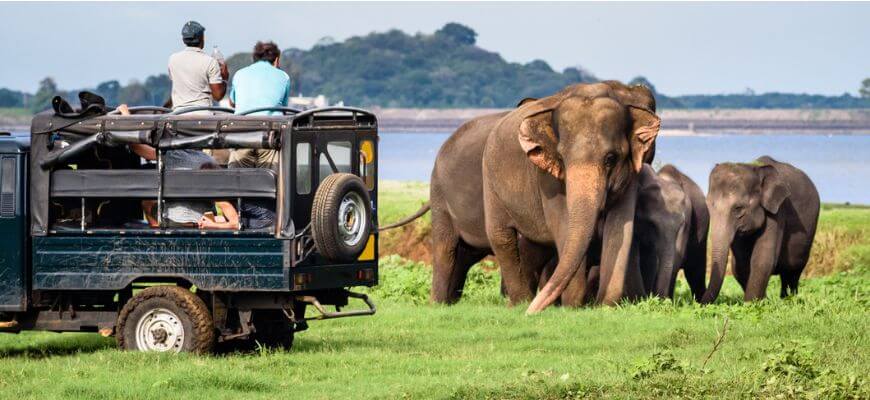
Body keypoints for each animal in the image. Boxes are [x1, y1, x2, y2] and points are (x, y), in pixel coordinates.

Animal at [704, 156, 820, 304]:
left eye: (738, 208)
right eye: (708, 206)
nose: (698, 302)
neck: (754, 168)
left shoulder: (777, 210)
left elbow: (762, 258)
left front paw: (752, 304)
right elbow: (740, 265)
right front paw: (762, 301)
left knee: (793, 271)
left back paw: (789, 299)